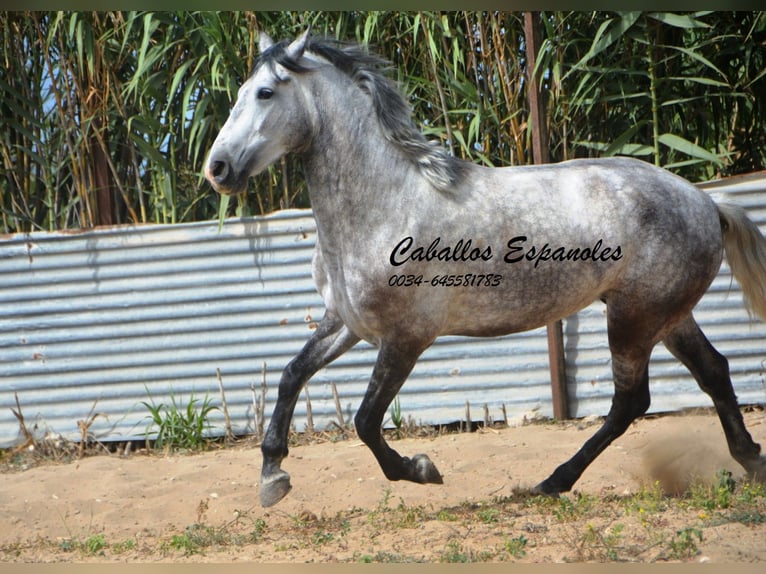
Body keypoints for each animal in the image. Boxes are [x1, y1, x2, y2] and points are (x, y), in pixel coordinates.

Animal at [204, 31, 766, 508]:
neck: (386, 203)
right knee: (714, 372)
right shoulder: (348, 322)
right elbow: (291, 375)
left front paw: (422, 469)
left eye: (266, 93)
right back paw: (750, 461)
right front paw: (272, 477)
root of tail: (706, 203)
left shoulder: (407, 337)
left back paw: (553, 481)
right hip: (666, 316)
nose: (218, 169)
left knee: (632, 401)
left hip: (633, 319)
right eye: (241, 91)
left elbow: (365, 421)